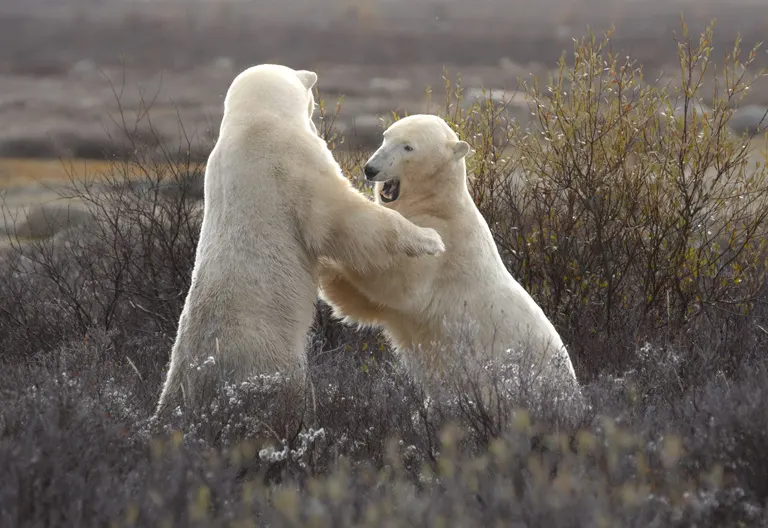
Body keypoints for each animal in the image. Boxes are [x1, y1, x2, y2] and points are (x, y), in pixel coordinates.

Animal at [154, 66, 445, 419]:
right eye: (311, 100)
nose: (315, 111)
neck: (251, 124)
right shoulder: (293, 158)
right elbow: (341, 214)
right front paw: (429, 239)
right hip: (269, 356)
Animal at [317, 114, 579, 403]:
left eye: (408, 147)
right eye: (385, 136)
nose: (370, 169)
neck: (438, 204)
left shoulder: (443, 248)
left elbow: (398, 283)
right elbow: (360, 304)